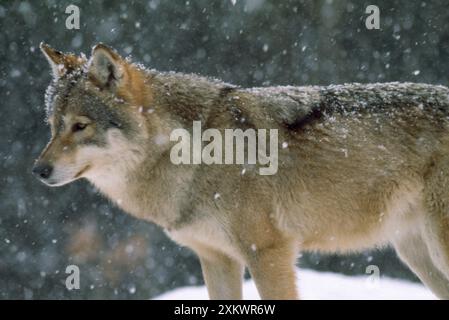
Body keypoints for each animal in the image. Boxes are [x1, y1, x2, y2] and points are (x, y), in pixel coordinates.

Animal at [33, 43, 448, 300]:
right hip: (416, 253)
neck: (191, 154)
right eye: (53, 126)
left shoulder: (268, 253)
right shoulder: (217, 259)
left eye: (80, 126)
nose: (38, 170)